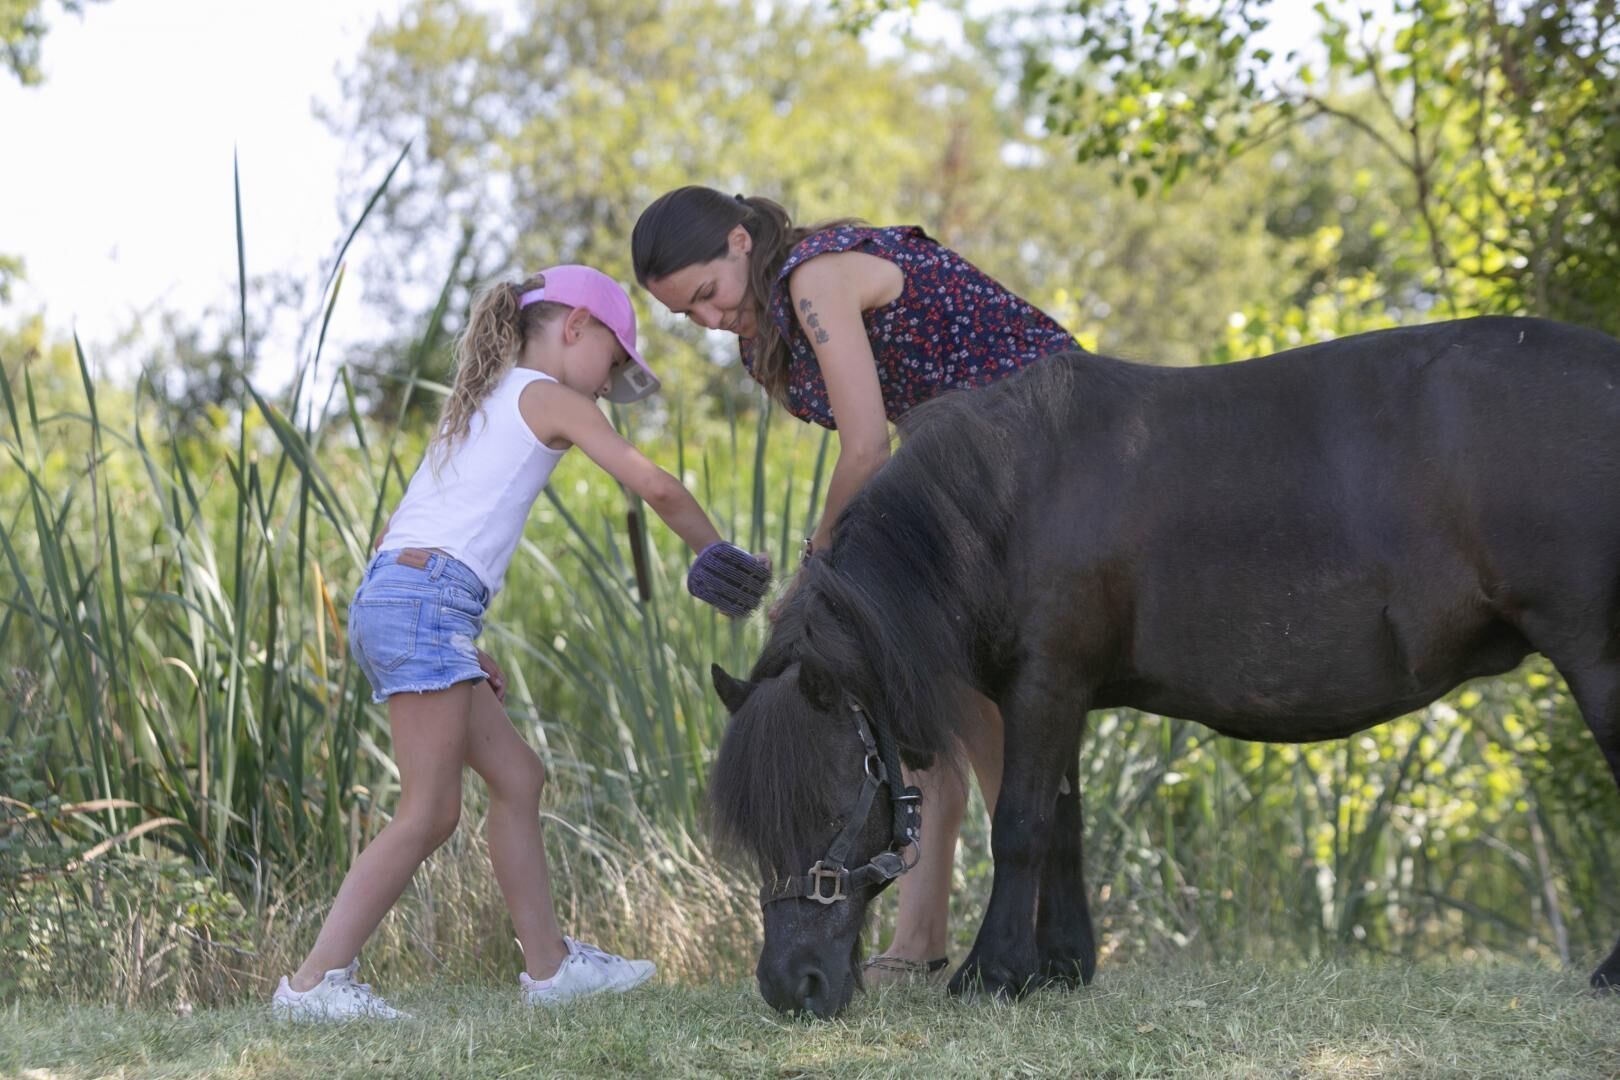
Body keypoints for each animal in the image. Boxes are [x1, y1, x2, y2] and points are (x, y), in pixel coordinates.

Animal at [705, 315, 1620, 1018]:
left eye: (830, 799)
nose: (792, 987)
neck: (1011, 497)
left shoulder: (1046, 682)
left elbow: (1020, 824)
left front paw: (993, 973)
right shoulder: (1060, 692)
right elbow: (1062, 824)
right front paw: (1061, 967)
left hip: (1597, 654)